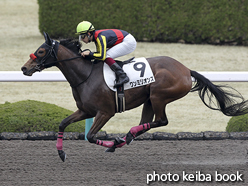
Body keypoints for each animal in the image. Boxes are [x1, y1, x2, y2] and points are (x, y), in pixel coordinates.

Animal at [21, 32, 248, 162]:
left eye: (40, 51)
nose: (24, 68)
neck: (86, 75)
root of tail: (186, 70)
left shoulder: (105, 112)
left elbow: (91, 137)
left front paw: (112, 142)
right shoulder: (85, 110)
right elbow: (62, 124)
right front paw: (61, 153)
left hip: (159, 95)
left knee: (161, 121)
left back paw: (124, 137)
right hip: (149, 100)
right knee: (147, 122)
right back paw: (126, 137)